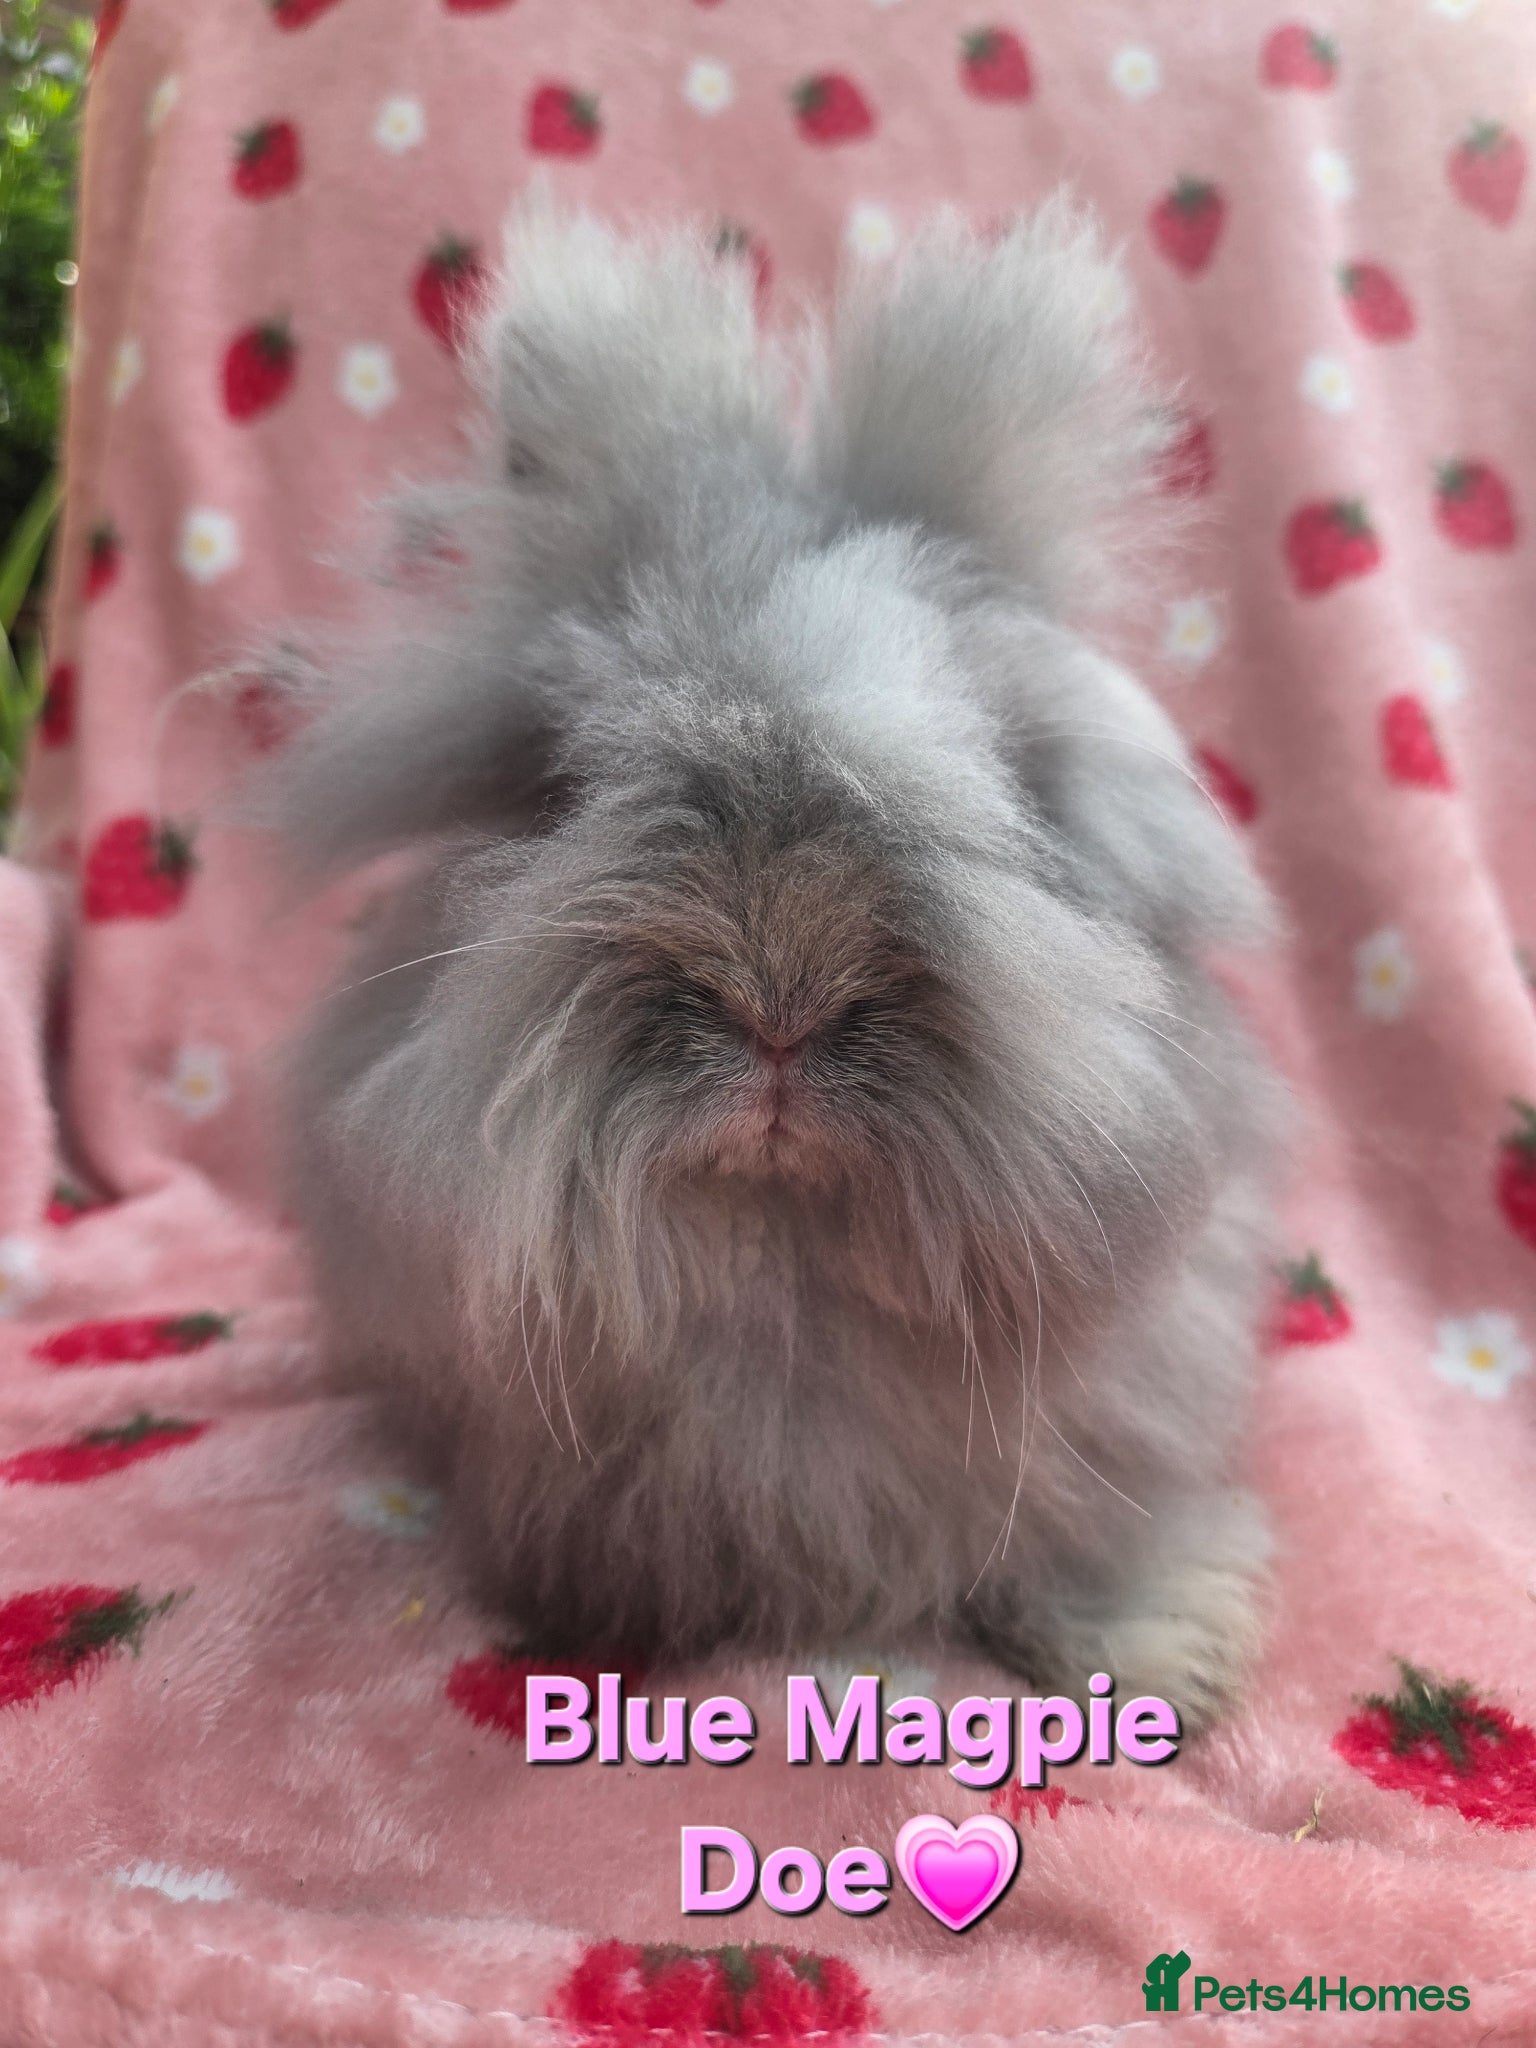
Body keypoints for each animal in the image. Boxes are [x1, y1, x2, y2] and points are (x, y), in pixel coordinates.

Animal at [268, 198, 1283, 1728]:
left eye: (1008, 779)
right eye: (562, 779)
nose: (779, 1001)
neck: (781, 1283)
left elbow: (1096, 1546)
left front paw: (1163, 1660)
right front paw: (591, 1631)